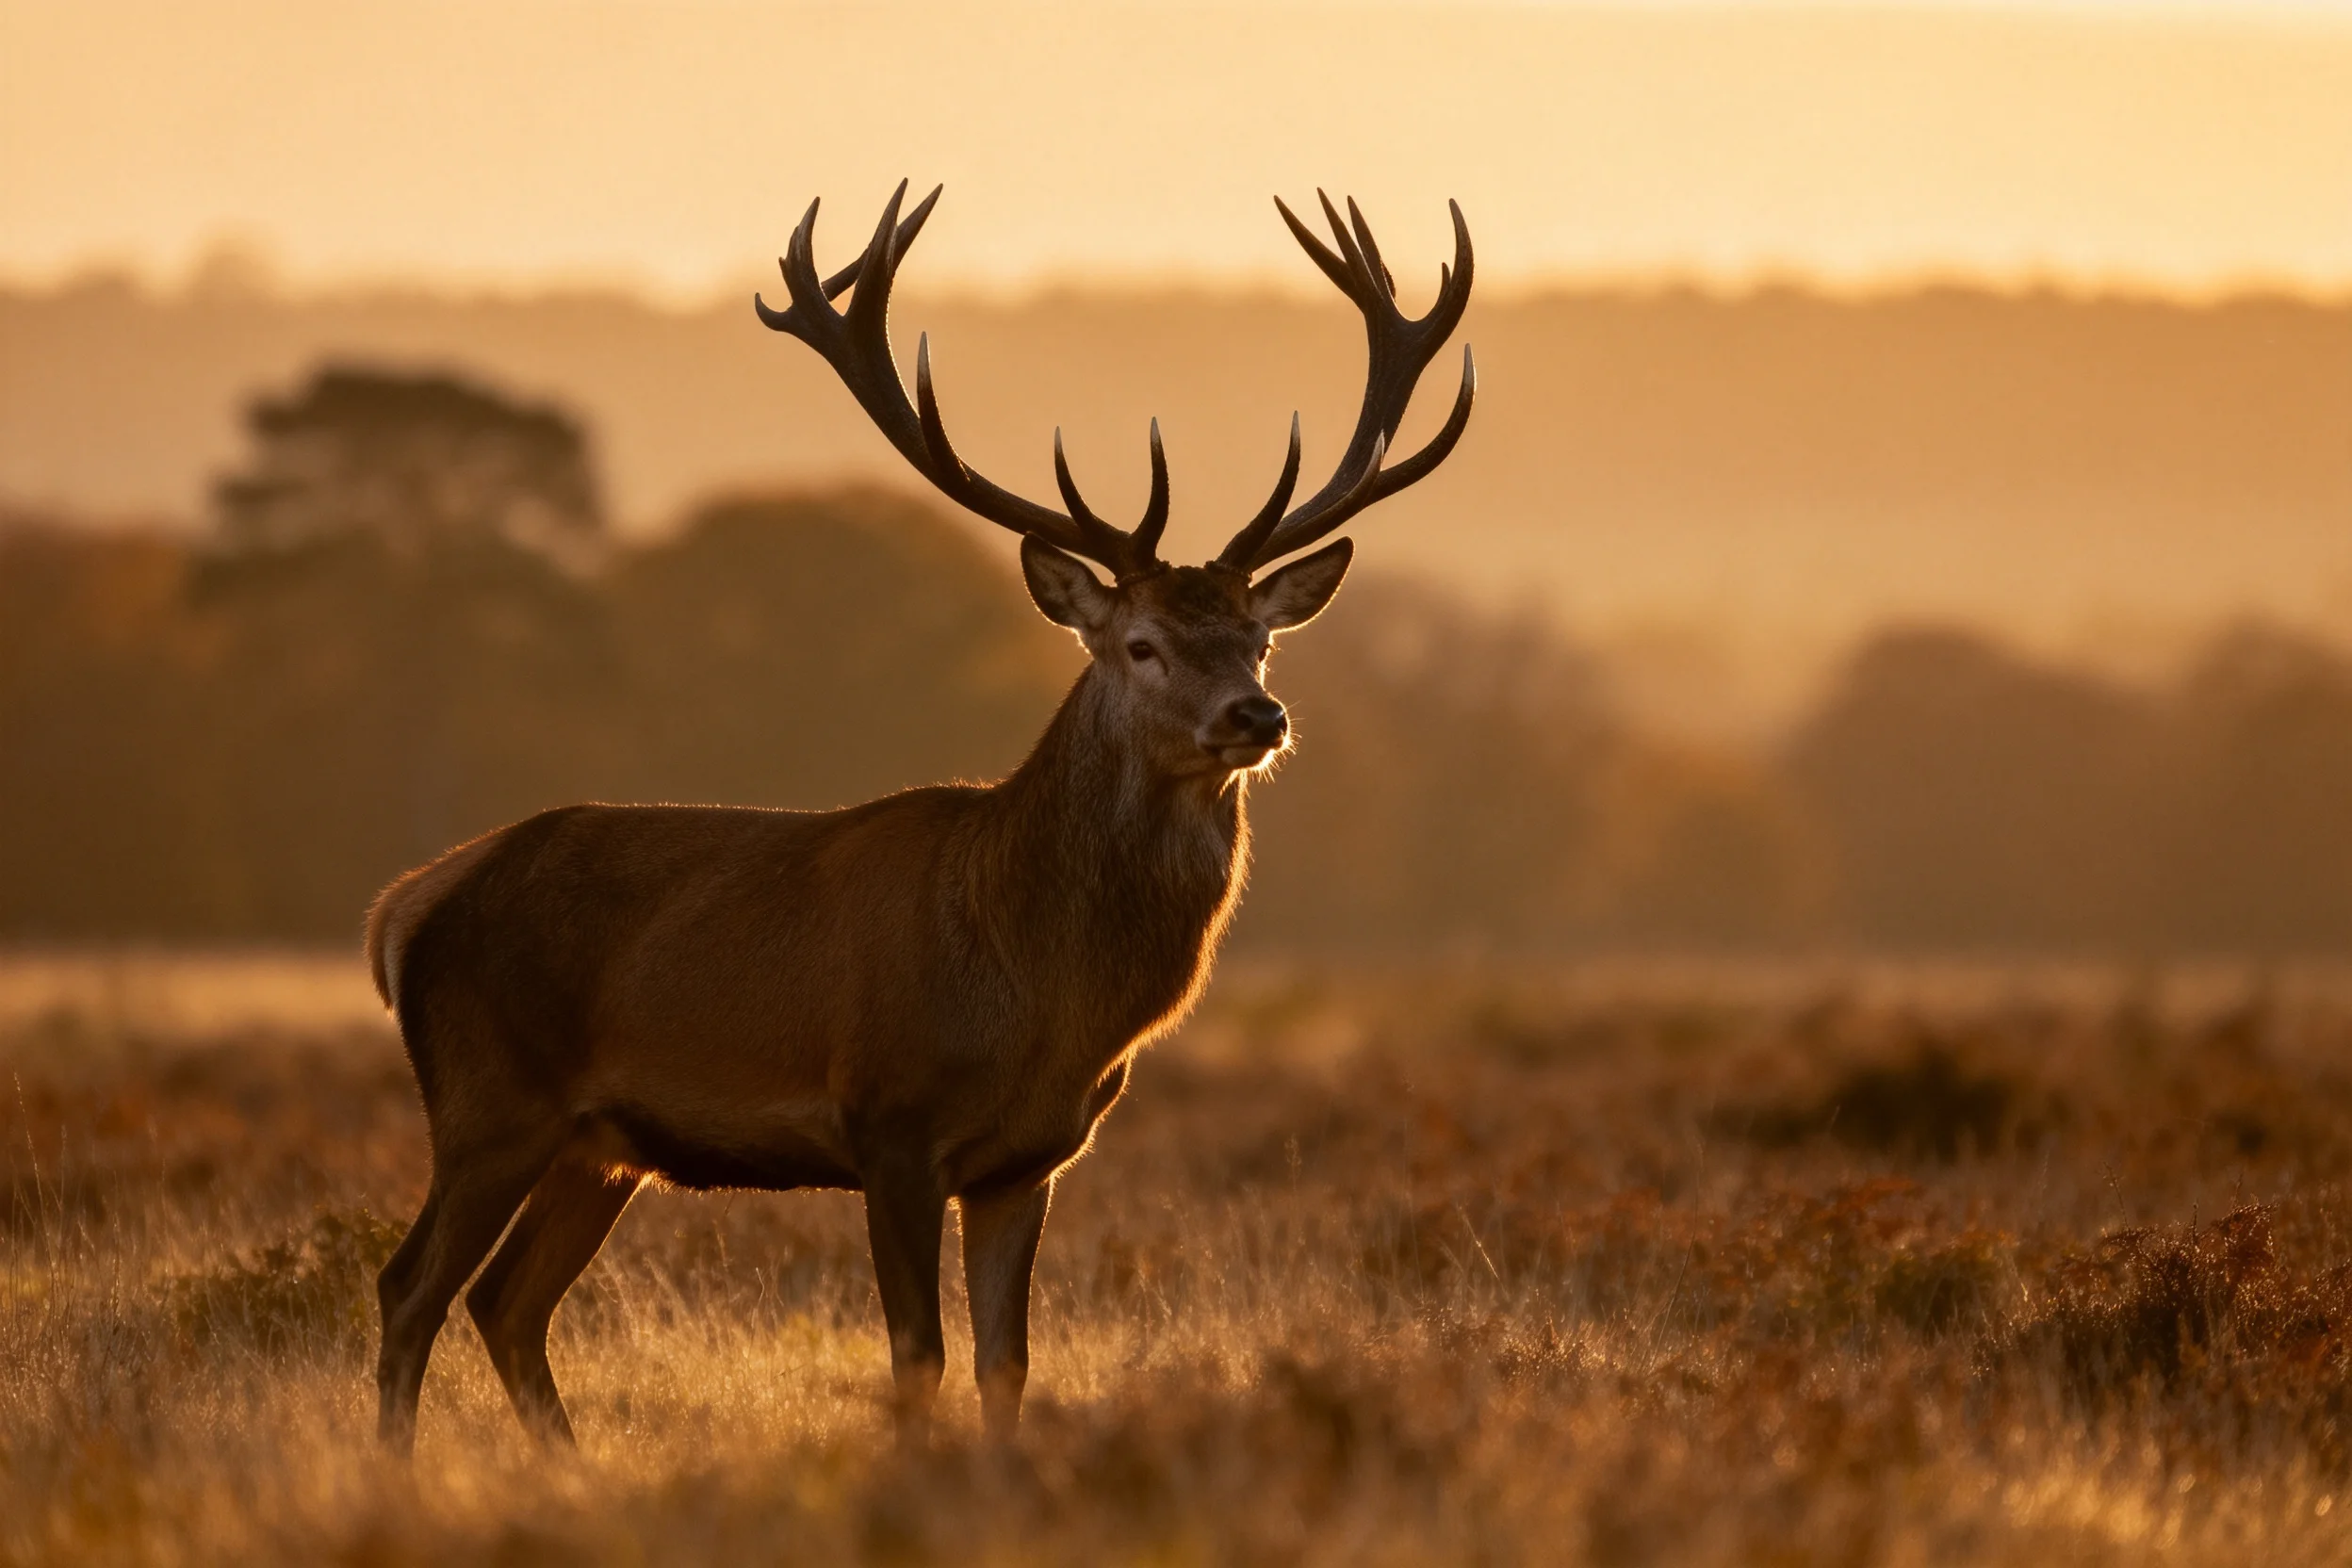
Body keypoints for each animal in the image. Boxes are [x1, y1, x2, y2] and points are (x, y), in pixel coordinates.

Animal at [365, 180, 1474, 1455]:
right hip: (489, 1096)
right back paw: (397, 1473)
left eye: (1259, 637)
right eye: (1141, 644)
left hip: (599, 1144)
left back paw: (567, 1470)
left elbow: (1007, 1358)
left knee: (506, 1301)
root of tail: (409, 905)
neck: (1041, 992)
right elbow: (916, 1353)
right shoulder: (886, 1118)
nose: (1258, 713)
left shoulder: (1030, 1157)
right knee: (409, 1287)